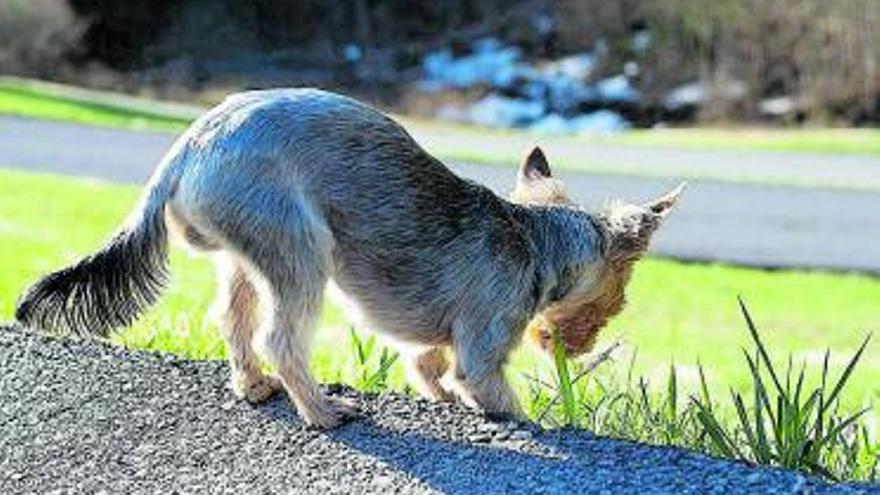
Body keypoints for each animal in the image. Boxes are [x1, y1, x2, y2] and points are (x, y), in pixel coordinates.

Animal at [17, 89, 684, 430]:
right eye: (622, 289)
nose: (583, 344)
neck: (536, 238)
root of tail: (187, 147)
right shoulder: (486, 344)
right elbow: (488, 389)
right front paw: (524, 422)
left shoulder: (433, 338)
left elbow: (427, 364)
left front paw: (439, 397)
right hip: (301, 246)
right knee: (282, 338)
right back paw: (322, 411)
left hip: (246, 253)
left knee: (233, 319)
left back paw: (254, 387)